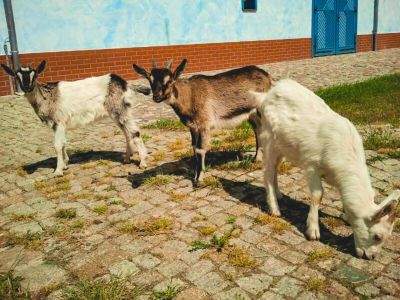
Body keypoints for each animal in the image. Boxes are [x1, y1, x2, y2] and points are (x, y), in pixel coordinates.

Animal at [0, 60, 148, 176]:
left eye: (35, 74)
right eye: (16, 76)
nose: (27, 87)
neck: (46, 97)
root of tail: (122, 83)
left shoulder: (59, 120)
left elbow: (57, 144)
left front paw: (58, 171)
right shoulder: (58, 124)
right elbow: (63, 143)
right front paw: (65, 164)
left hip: (120, 109)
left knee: (135, 132)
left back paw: (143, 162)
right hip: (117, 112)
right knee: (127, 133)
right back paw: (127, 158)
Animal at [133, 58, 274, 180]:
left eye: (170, 81)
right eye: (150, 80)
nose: (156, 97)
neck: (190, 96)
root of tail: (266, 75)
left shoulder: (204, 123)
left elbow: (201, 149)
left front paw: (199, 178)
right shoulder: (192, 127)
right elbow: (194, 147)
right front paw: (195, 173)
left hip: (263, 108)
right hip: (252, 114)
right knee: (258, 130)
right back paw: (256, 158)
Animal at [255, 78, 398, 258]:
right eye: (377, 236)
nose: (370, 257)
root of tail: (268, 95)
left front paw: (345, 216)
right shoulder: (311, 165)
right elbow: (318, 195)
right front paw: (313, 231)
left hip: (283, 146)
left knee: (274, 169)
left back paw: (279, 194)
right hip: (269, 140)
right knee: (267, 172)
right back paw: (275, 209)